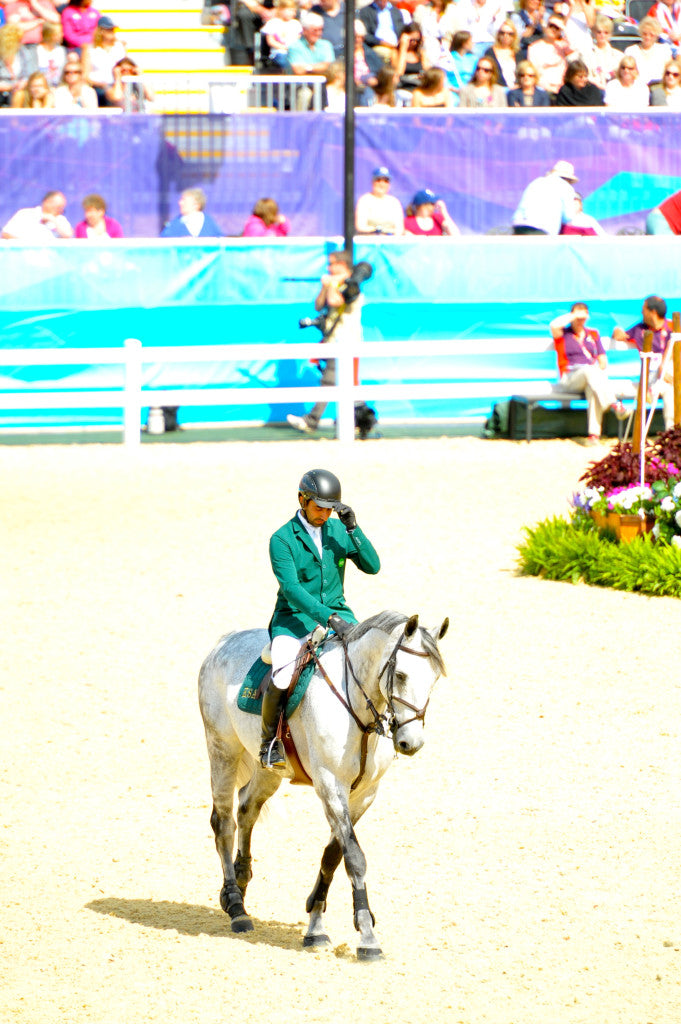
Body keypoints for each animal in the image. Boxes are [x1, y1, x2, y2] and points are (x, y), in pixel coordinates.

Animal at [199, 610, 448, 954]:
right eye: (400, 676)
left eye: (433, 680)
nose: (411, 743)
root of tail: (224, 641)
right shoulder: (330, 785)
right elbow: (354, 857)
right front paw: (367, 936)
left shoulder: (364, 794)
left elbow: (333, 854)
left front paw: (316, 925)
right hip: (222, 748)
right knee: (224, 822)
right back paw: (236, 907)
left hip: (269, 770)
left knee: (247, 808)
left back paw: (240, 880)